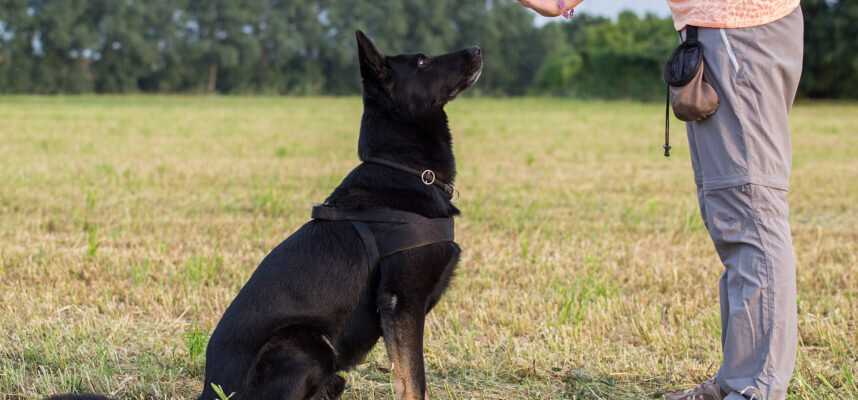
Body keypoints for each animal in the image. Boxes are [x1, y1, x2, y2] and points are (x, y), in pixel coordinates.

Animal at [46, 30, 478, 400]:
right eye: (422, 61)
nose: (476, 49)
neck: (403, 168)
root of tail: (210, 392)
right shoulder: (401, 304)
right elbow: (413, 382)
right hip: (304, 342)